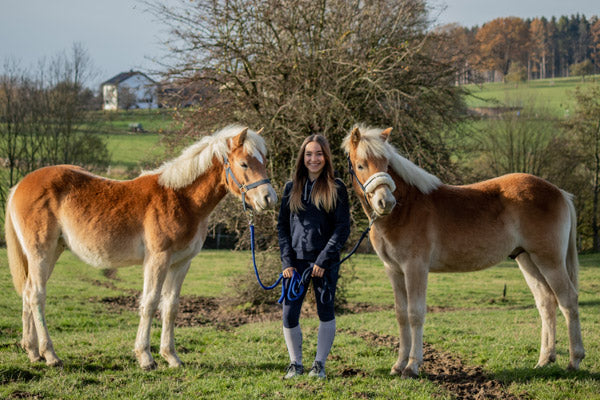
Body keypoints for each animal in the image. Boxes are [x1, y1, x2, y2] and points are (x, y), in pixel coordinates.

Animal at [5, 126, 278, 372]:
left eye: (264, 161)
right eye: (244, 164)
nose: (269, 199)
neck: (181, 199)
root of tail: (20, 185)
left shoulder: (181, 263)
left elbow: (170, 307)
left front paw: (172, 357)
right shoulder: (157, 260)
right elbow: (149, 302)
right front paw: (146, 358)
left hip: (52, 252)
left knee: (28, 292)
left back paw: (33, 352)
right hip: (41, 253)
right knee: (37, 295)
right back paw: (50, 355)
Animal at [344, 125, 584, 378]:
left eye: (386, 163)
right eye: (360, 165)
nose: (385, 202)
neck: (405, 209)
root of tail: (559, 192)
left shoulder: (415, 268)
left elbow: (415, 314)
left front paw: (412, 366)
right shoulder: (394, 270)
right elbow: (401, 315)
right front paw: (398, 365)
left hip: (549, 260)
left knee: (568, 300)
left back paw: (574, 361)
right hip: (527, 259)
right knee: (546, 301)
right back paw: (544, 360)